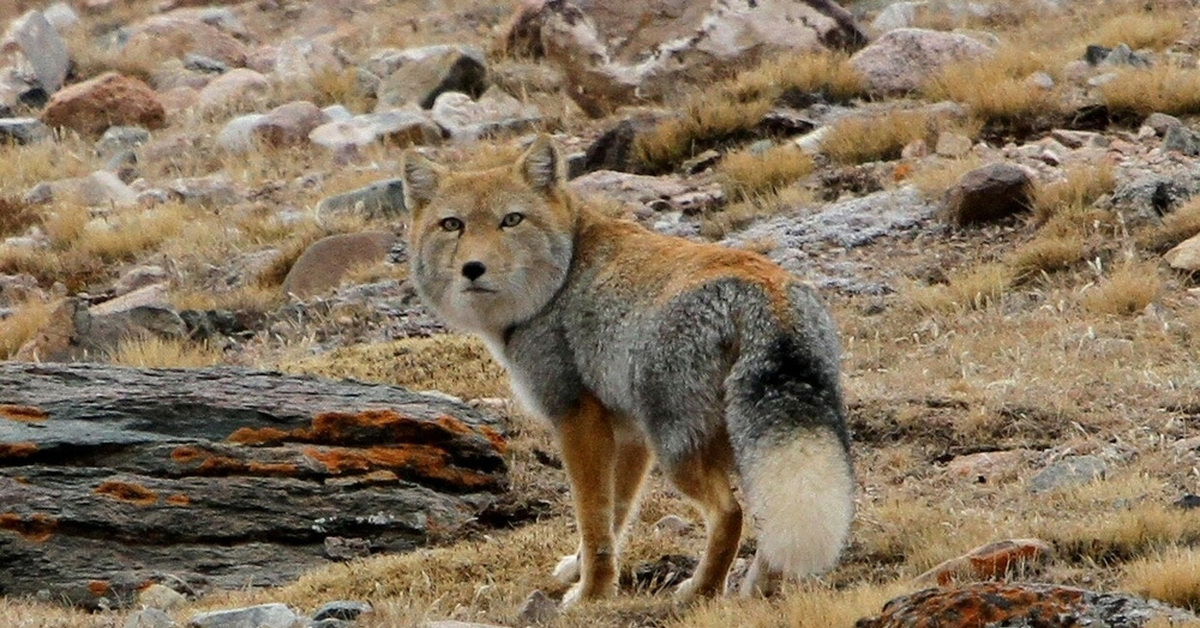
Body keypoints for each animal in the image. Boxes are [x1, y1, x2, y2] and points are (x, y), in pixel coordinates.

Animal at [403, 135, 854, 607]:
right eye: (452, 225)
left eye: (512, 220)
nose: (473, 269)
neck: (562, 277)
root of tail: (765, 294)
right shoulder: (629, 434)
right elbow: (616, 514)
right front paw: (580, 571)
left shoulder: (577, 420)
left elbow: (593, 519)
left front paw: (591, 594)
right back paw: (756, 589)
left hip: (679, 452)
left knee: (730, 515)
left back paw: (700, 590)